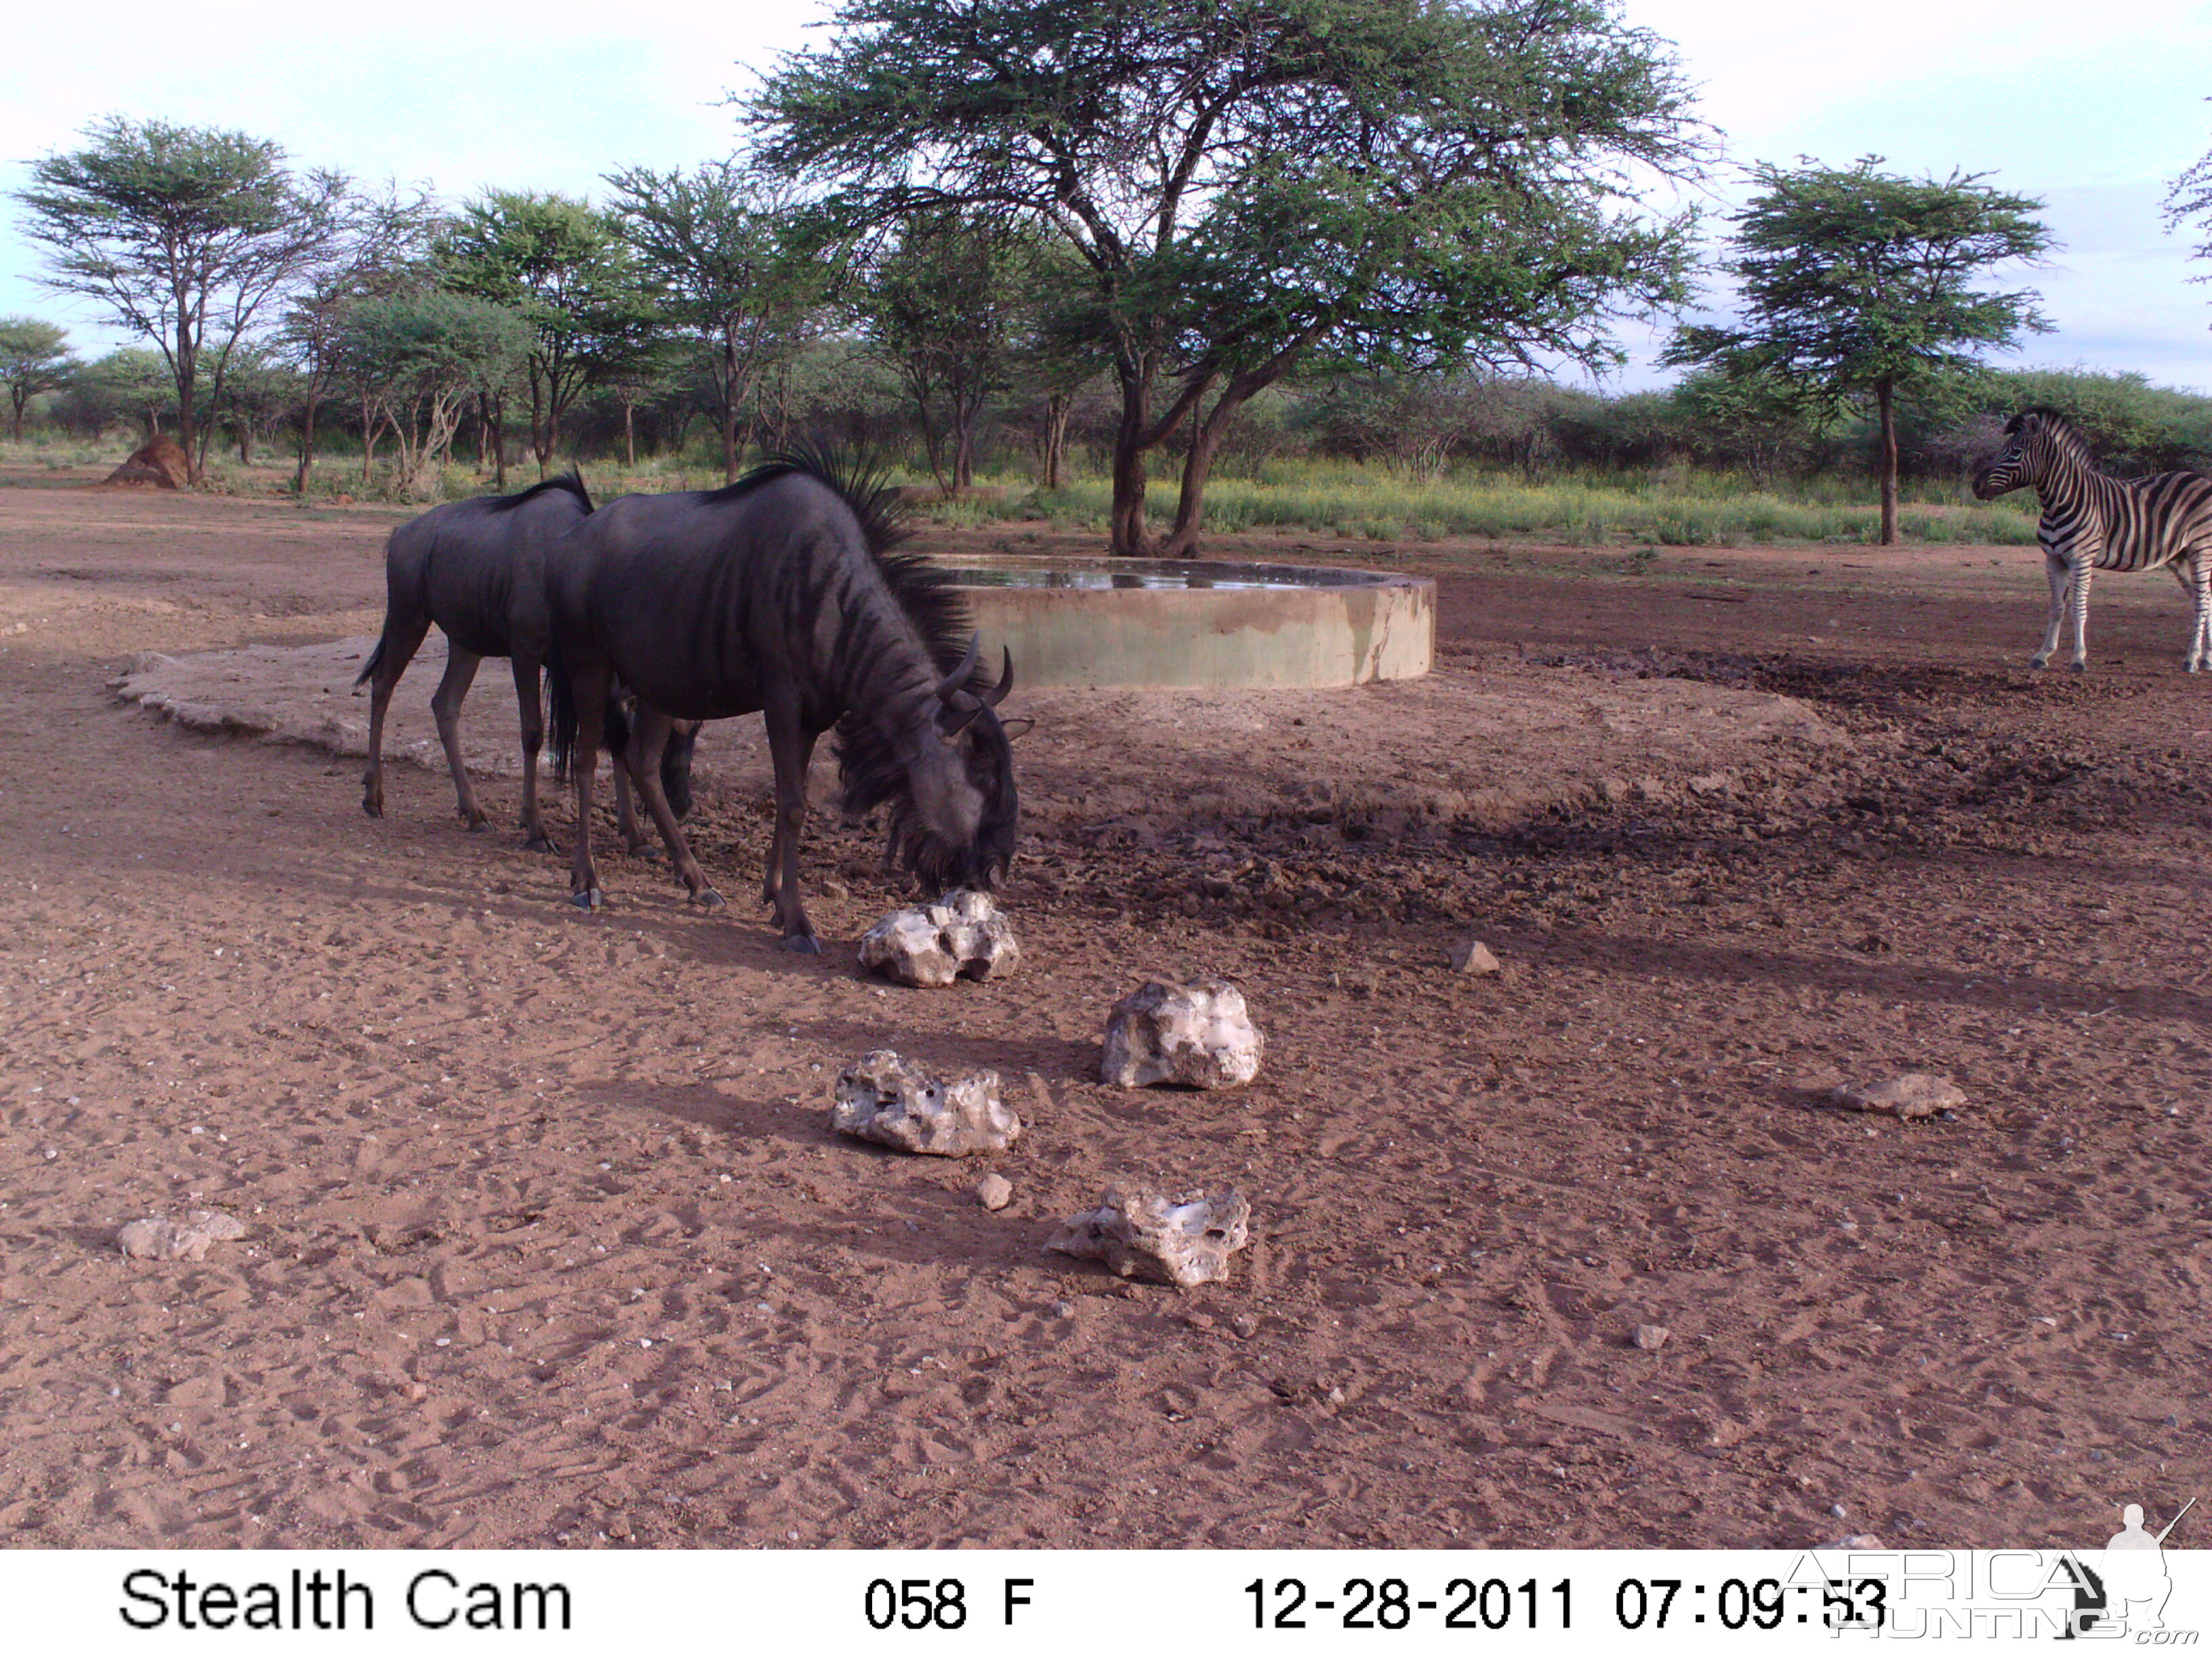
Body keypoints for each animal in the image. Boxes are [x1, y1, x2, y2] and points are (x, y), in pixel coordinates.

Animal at [1973, 411, 2212, 676]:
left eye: (2015, 452)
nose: (1976, 486)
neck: (2059, 502)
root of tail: (2202, 480)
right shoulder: (2053, 559)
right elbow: (2057, 607)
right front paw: (2043, 655)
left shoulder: (2081, 559)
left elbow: (2078, 608)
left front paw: (2078, 659)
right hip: (2178, 558)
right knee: (2206, 599)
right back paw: (2206, 658)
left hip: (2201, 550)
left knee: (2202, 603)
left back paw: (2191, 660)